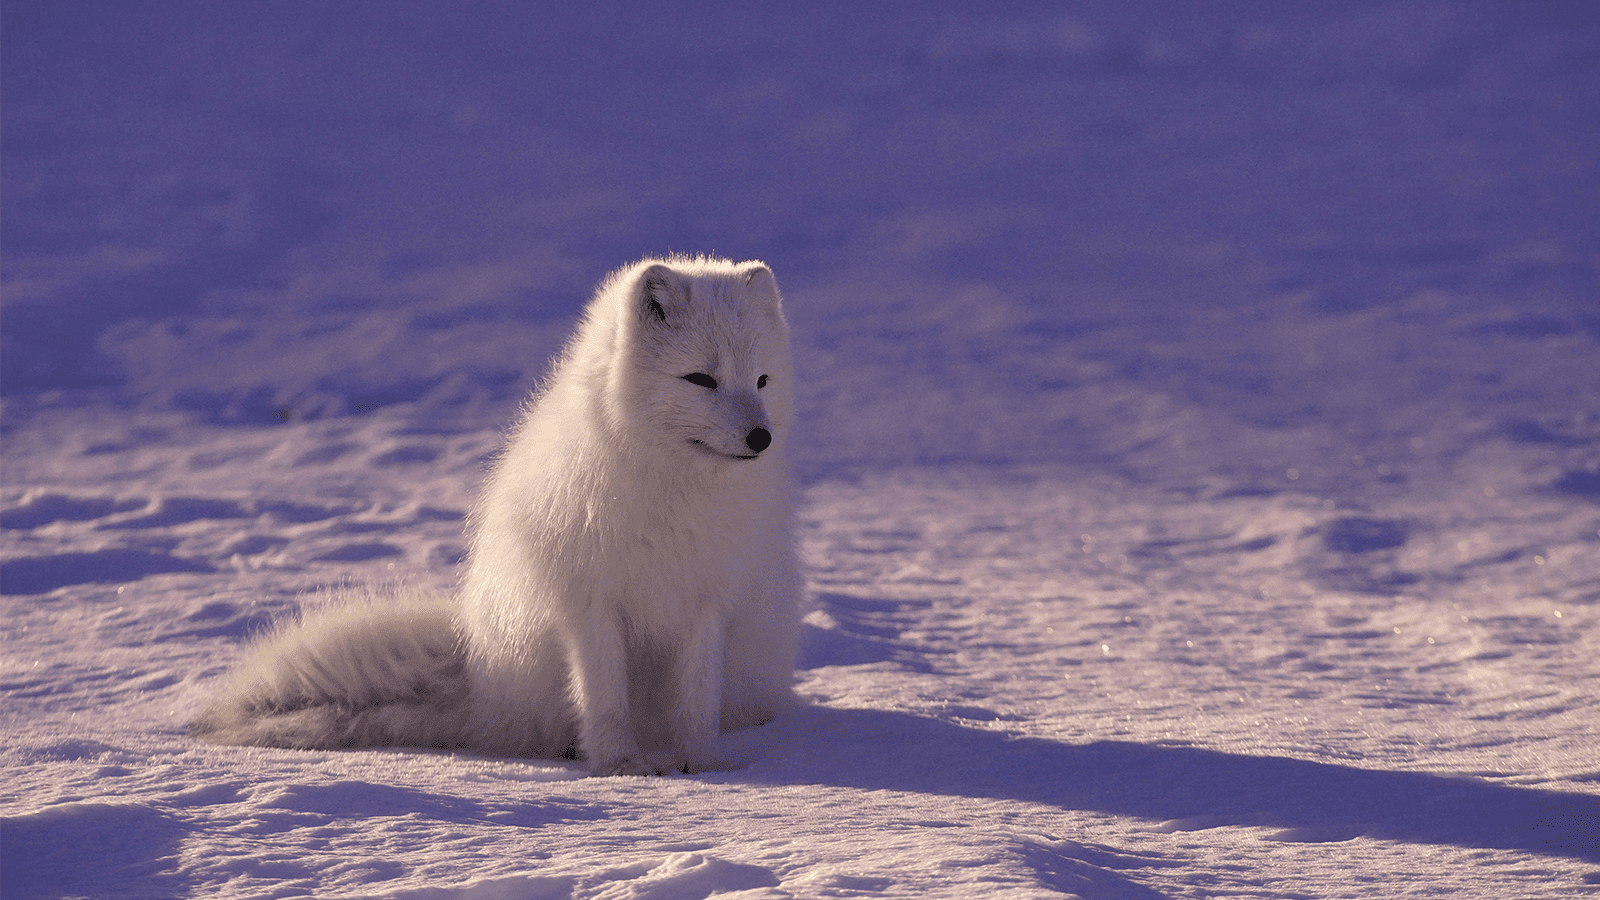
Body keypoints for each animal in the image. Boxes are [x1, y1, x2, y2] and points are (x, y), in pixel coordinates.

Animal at [192, 255, 802, 775]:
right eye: (701, 379)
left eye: (762, 380)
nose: (762, 437)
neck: (673, 491)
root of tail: (480, 682)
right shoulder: (589, 603)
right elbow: (604, 697)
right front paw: (621, 766)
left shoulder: (707, 602)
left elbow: (697, 700)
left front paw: (701, 763)